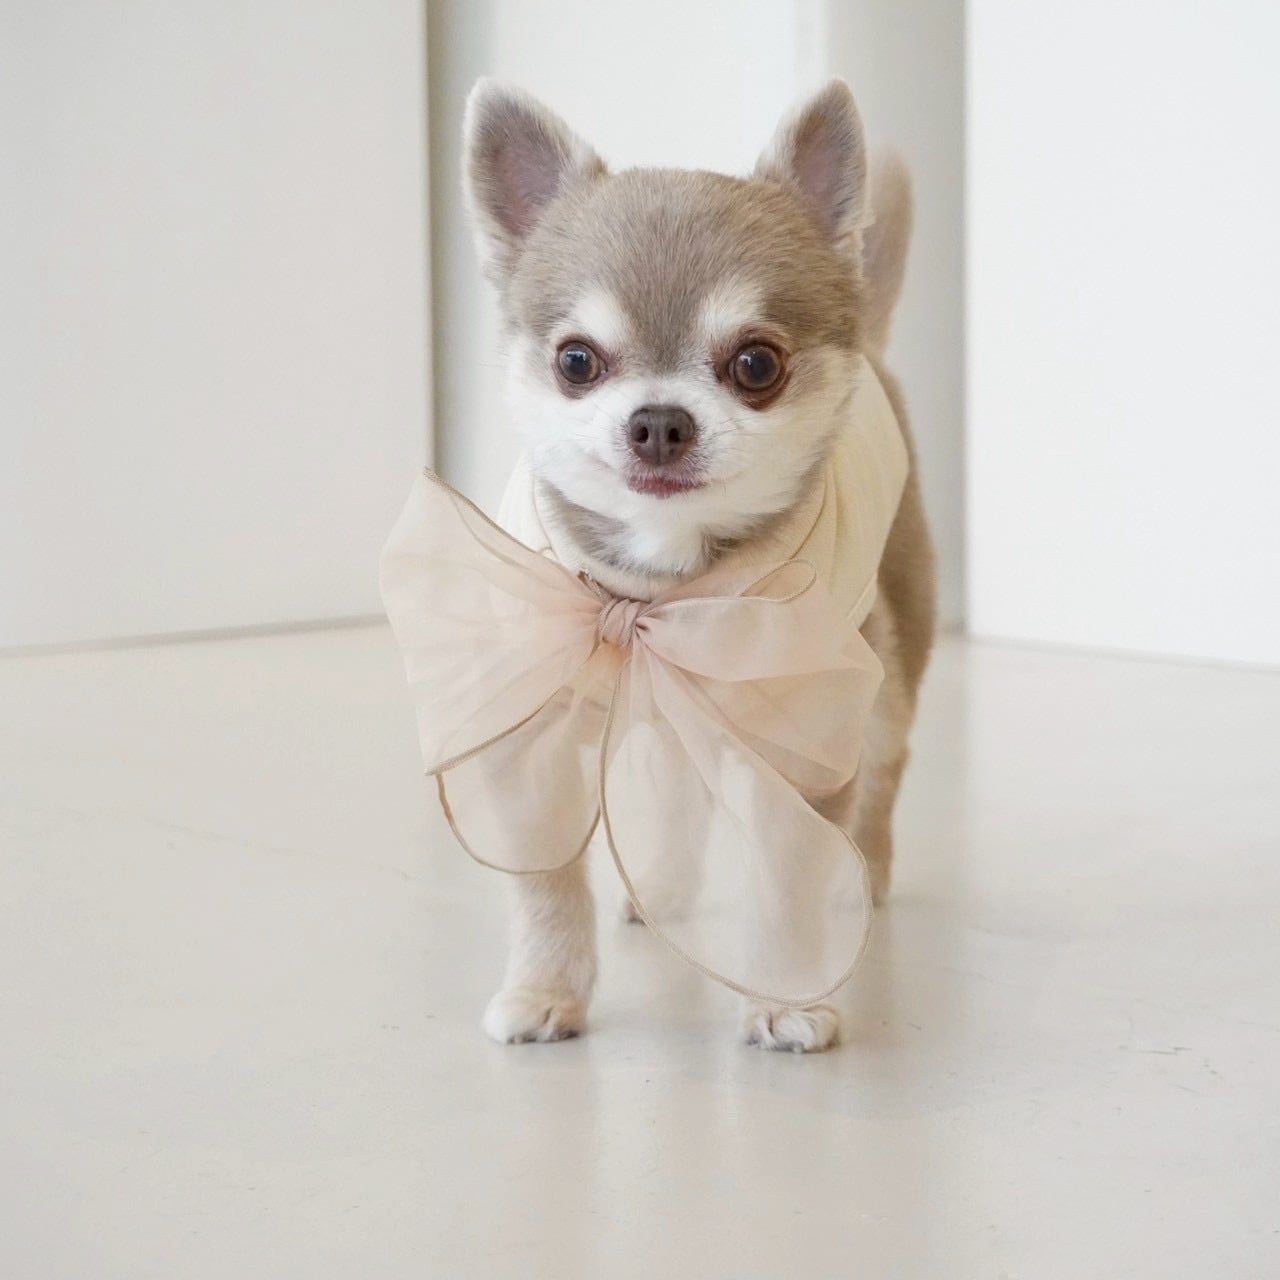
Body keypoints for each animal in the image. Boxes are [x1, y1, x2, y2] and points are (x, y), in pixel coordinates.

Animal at [461, 77, 936, 1052]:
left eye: (756, 363)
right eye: (576, 361)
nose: (658, 420)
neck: (657, 585)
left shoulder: (810, 738)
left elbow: (787, 885)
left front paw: (786, 999)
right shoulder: (532, 744)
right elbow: (548, 886)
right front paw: (544, 989)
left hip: (887, 666)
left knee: (883, 770)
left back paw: (863, 873)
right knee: (677, 792)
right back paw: (662, 894)